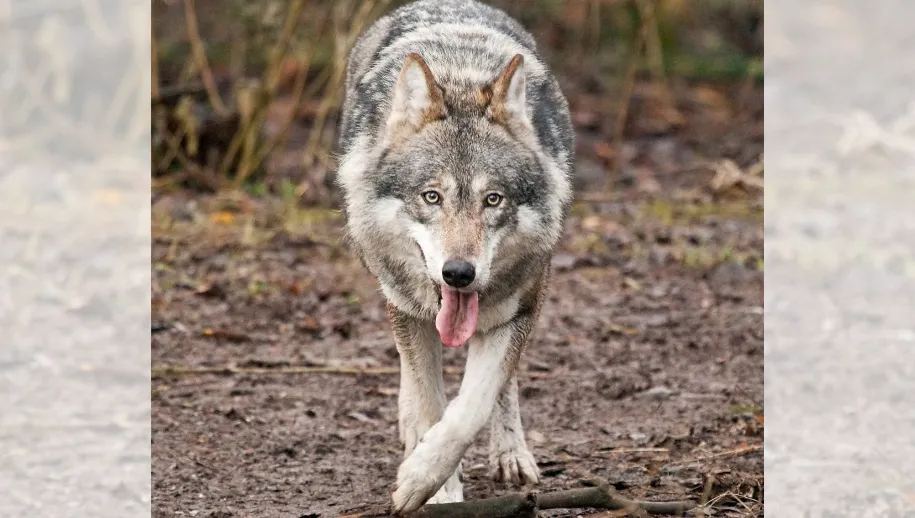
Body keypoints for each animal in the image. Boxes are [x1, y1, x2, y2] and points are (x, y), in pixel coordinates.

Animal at [335, 0, 574, 512]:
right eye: (432, 197)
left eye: (493, 199)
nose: (459, 274)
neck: (460, 75)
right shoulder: (406, 308)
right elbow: (430, 401)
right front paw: (439, 490)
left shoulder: (519, 309)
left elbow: (471, 407)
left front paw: (423, 476)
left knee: (504, 387)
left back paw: (511, 454)